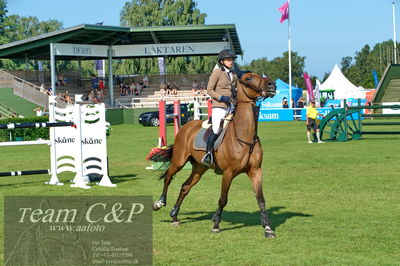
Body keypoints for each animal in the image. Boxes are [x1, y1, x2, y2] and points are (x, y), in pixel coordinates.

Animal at [152, 71, 276, 238]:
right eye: (249, 78)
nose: (272, 85)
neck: (245, 137)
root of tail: (187, 126)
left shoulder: (256, 171)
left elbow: (261, 199)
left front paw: (268, 228)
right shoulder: (228, 173)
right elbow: (223, 199)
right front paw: (216, 224)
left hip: (199, 168)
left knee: (185, 187)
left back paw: (174, 216)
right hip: (179, 161)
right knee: (168, 177)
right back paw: (160, 203)